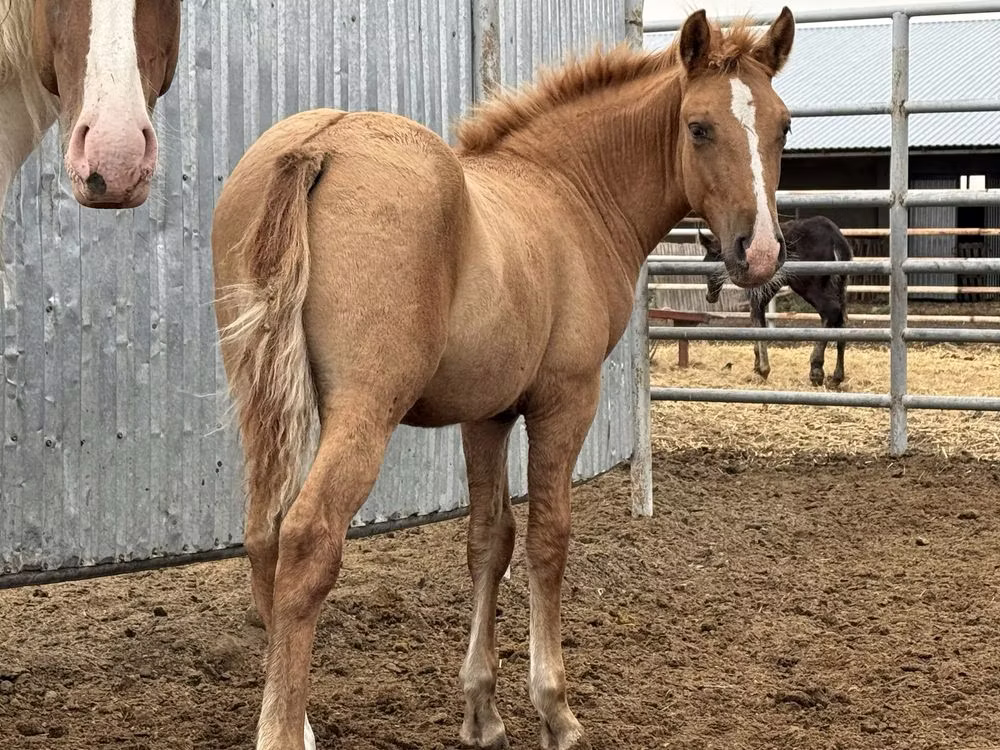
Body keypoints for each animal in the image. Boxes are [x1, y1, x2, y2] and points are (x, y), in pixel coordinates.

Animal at [212, 8, 795, 750]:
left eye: (783, 126)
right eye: (699, 126)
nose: (762, 253)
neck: (569, 190)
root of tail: (319, 145)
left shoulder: (485, 413)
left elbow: (489, 541)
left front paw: (482, 712)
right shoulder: (564, 400)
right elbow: (548, 538)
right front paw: (555, 710)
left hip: (260, 397)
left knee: (262, 533)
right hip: (364, 410)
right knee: (308, 538)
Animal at [700, 215, 852, 386]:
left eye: (707, 262)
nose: (709, 296)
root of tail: (836, 239)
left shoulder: (758, 293)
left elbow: (758, 322)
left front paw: (762, 370)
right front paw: (757, 367)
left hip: (810, 286)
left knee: (831, 312)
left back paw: (816, 370)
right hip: (840, 286)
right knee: (842, 322)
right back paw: (837, 377)